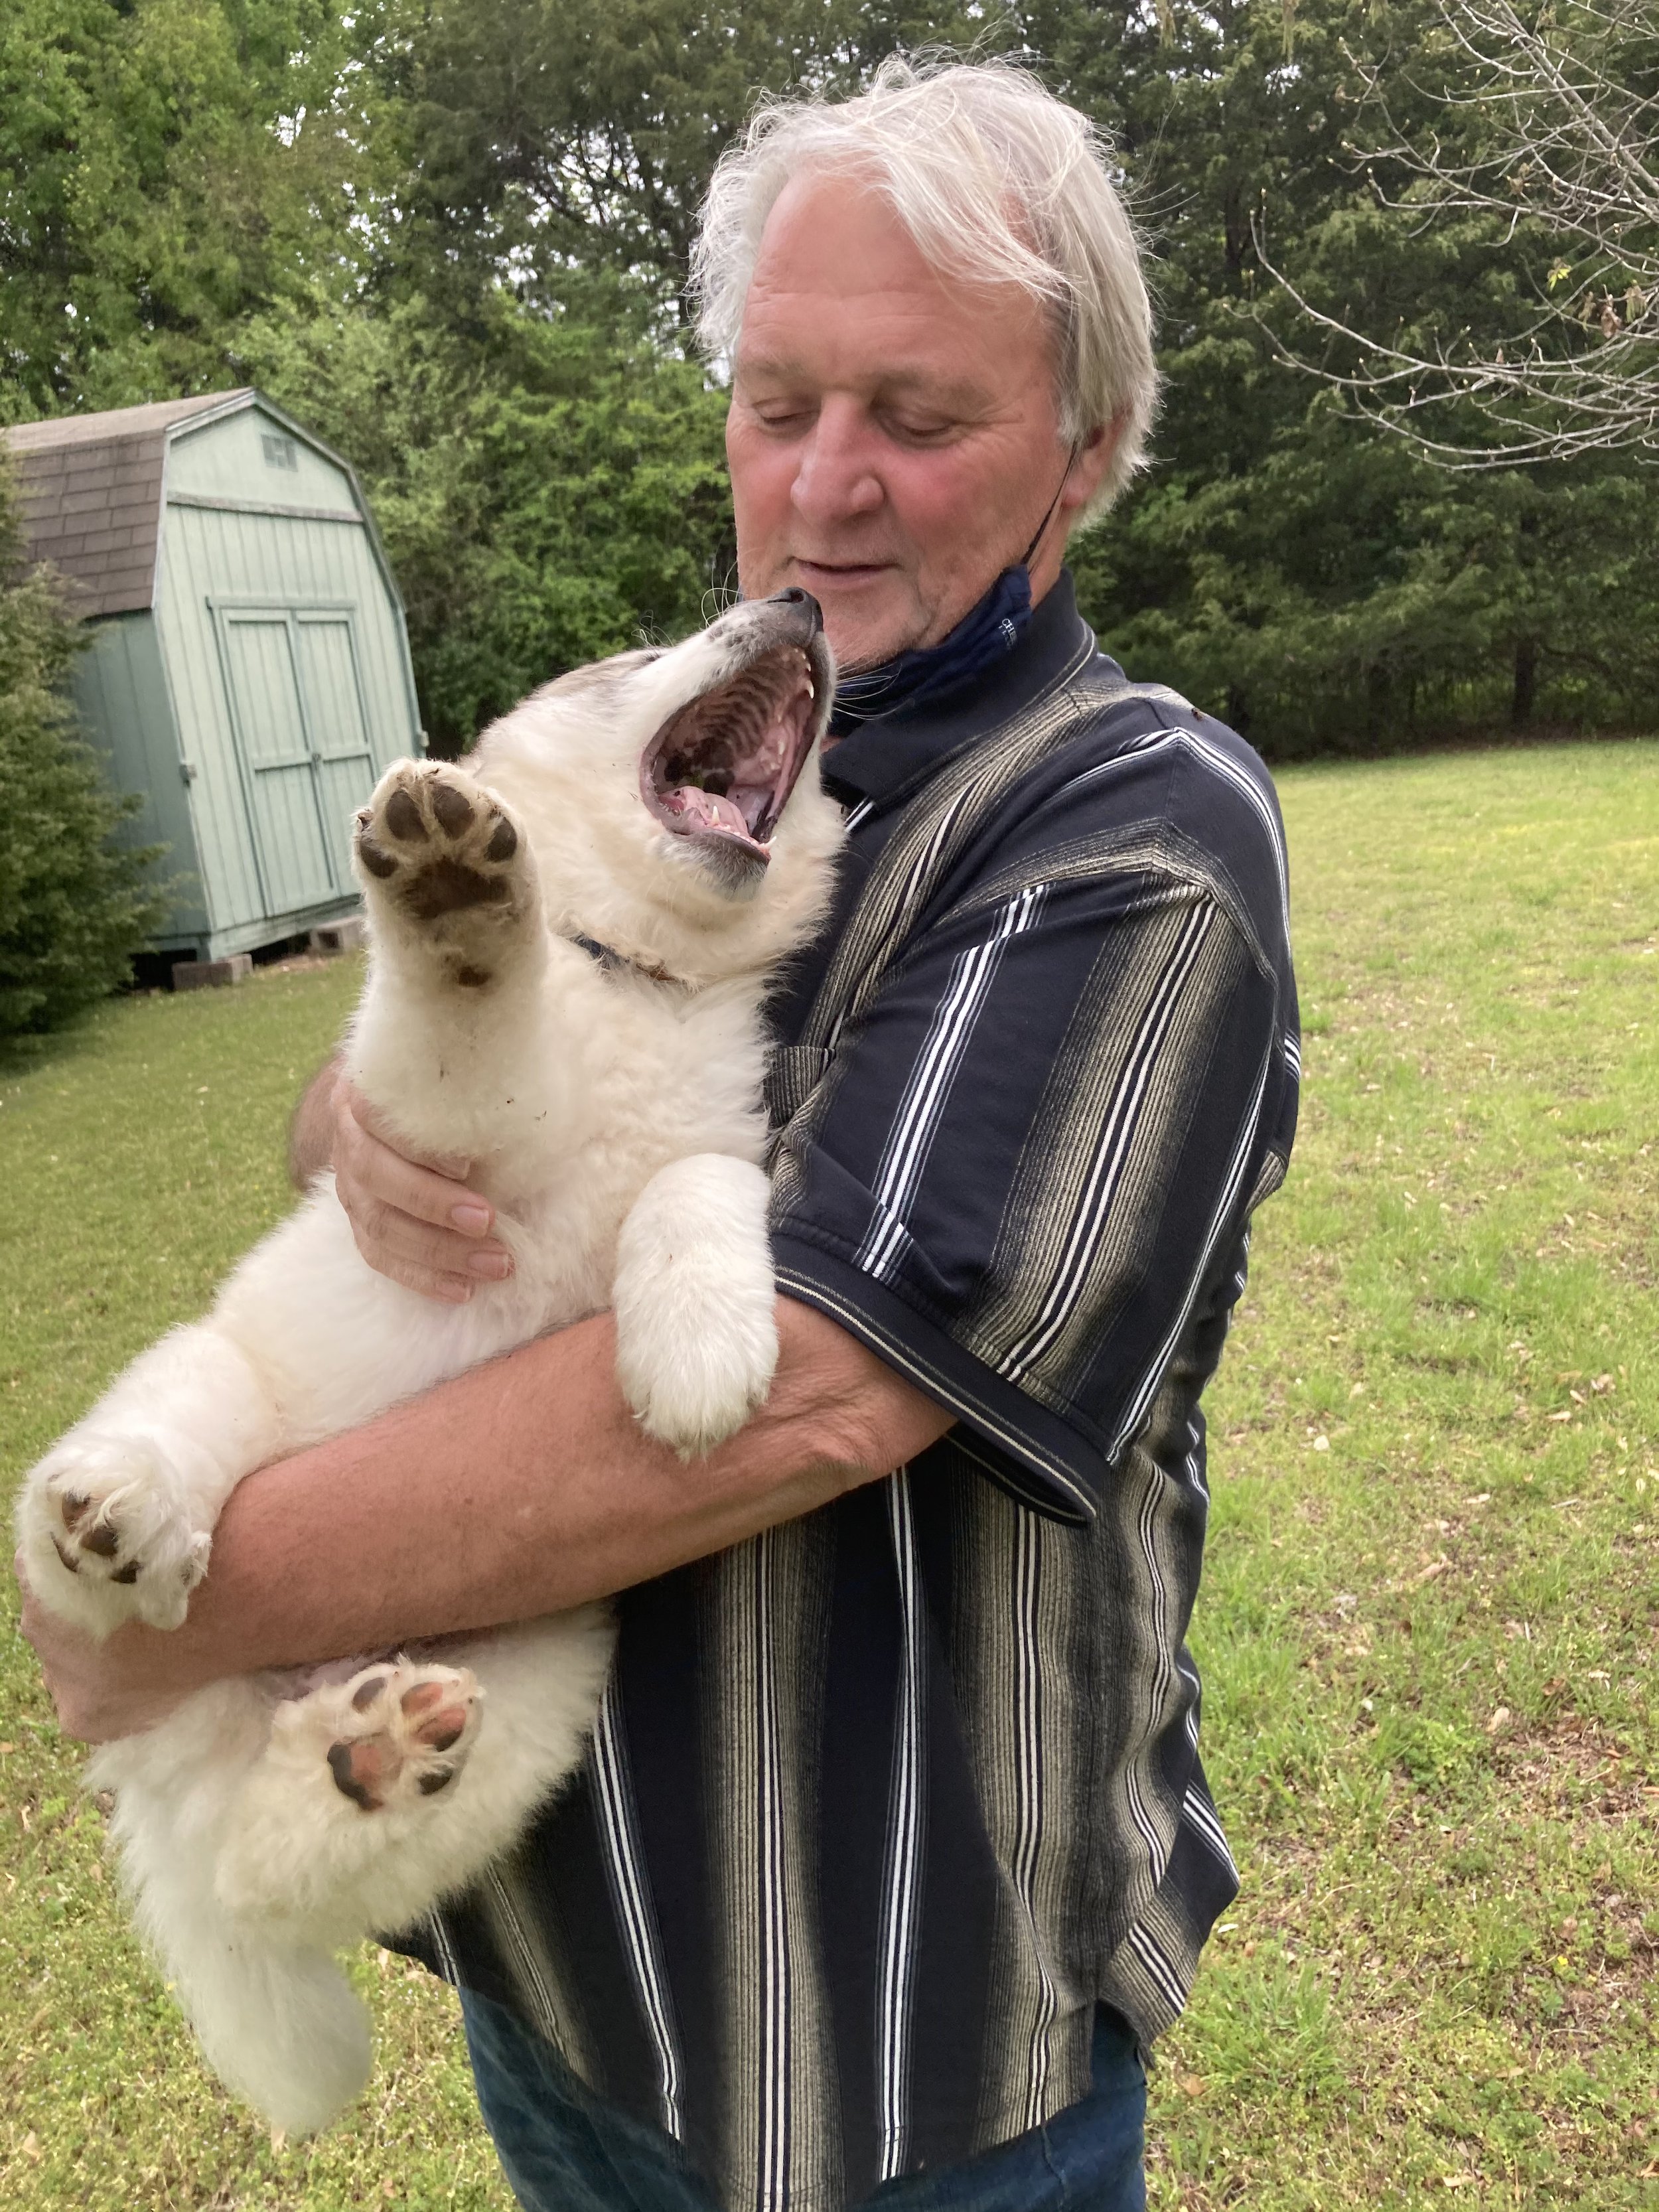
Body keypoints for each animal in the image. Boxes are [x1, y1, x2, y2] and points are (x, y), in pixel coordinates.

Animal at [13, 593, 845, 2141]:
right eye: (639, 658)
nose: (802, 605)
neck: (636, 977)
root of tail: (168, 1764)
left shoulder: (720, 1142)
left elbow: (691, 1188)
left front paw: (699, 1339)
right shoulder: (450, 1135)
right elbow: (470, 1009)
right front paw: (455, 885)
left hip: (531, 1686)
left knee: (265, 1875)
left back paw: (367, 1759)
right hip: (210, 1379)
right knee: (126, 1509)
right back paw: (111, 1517)